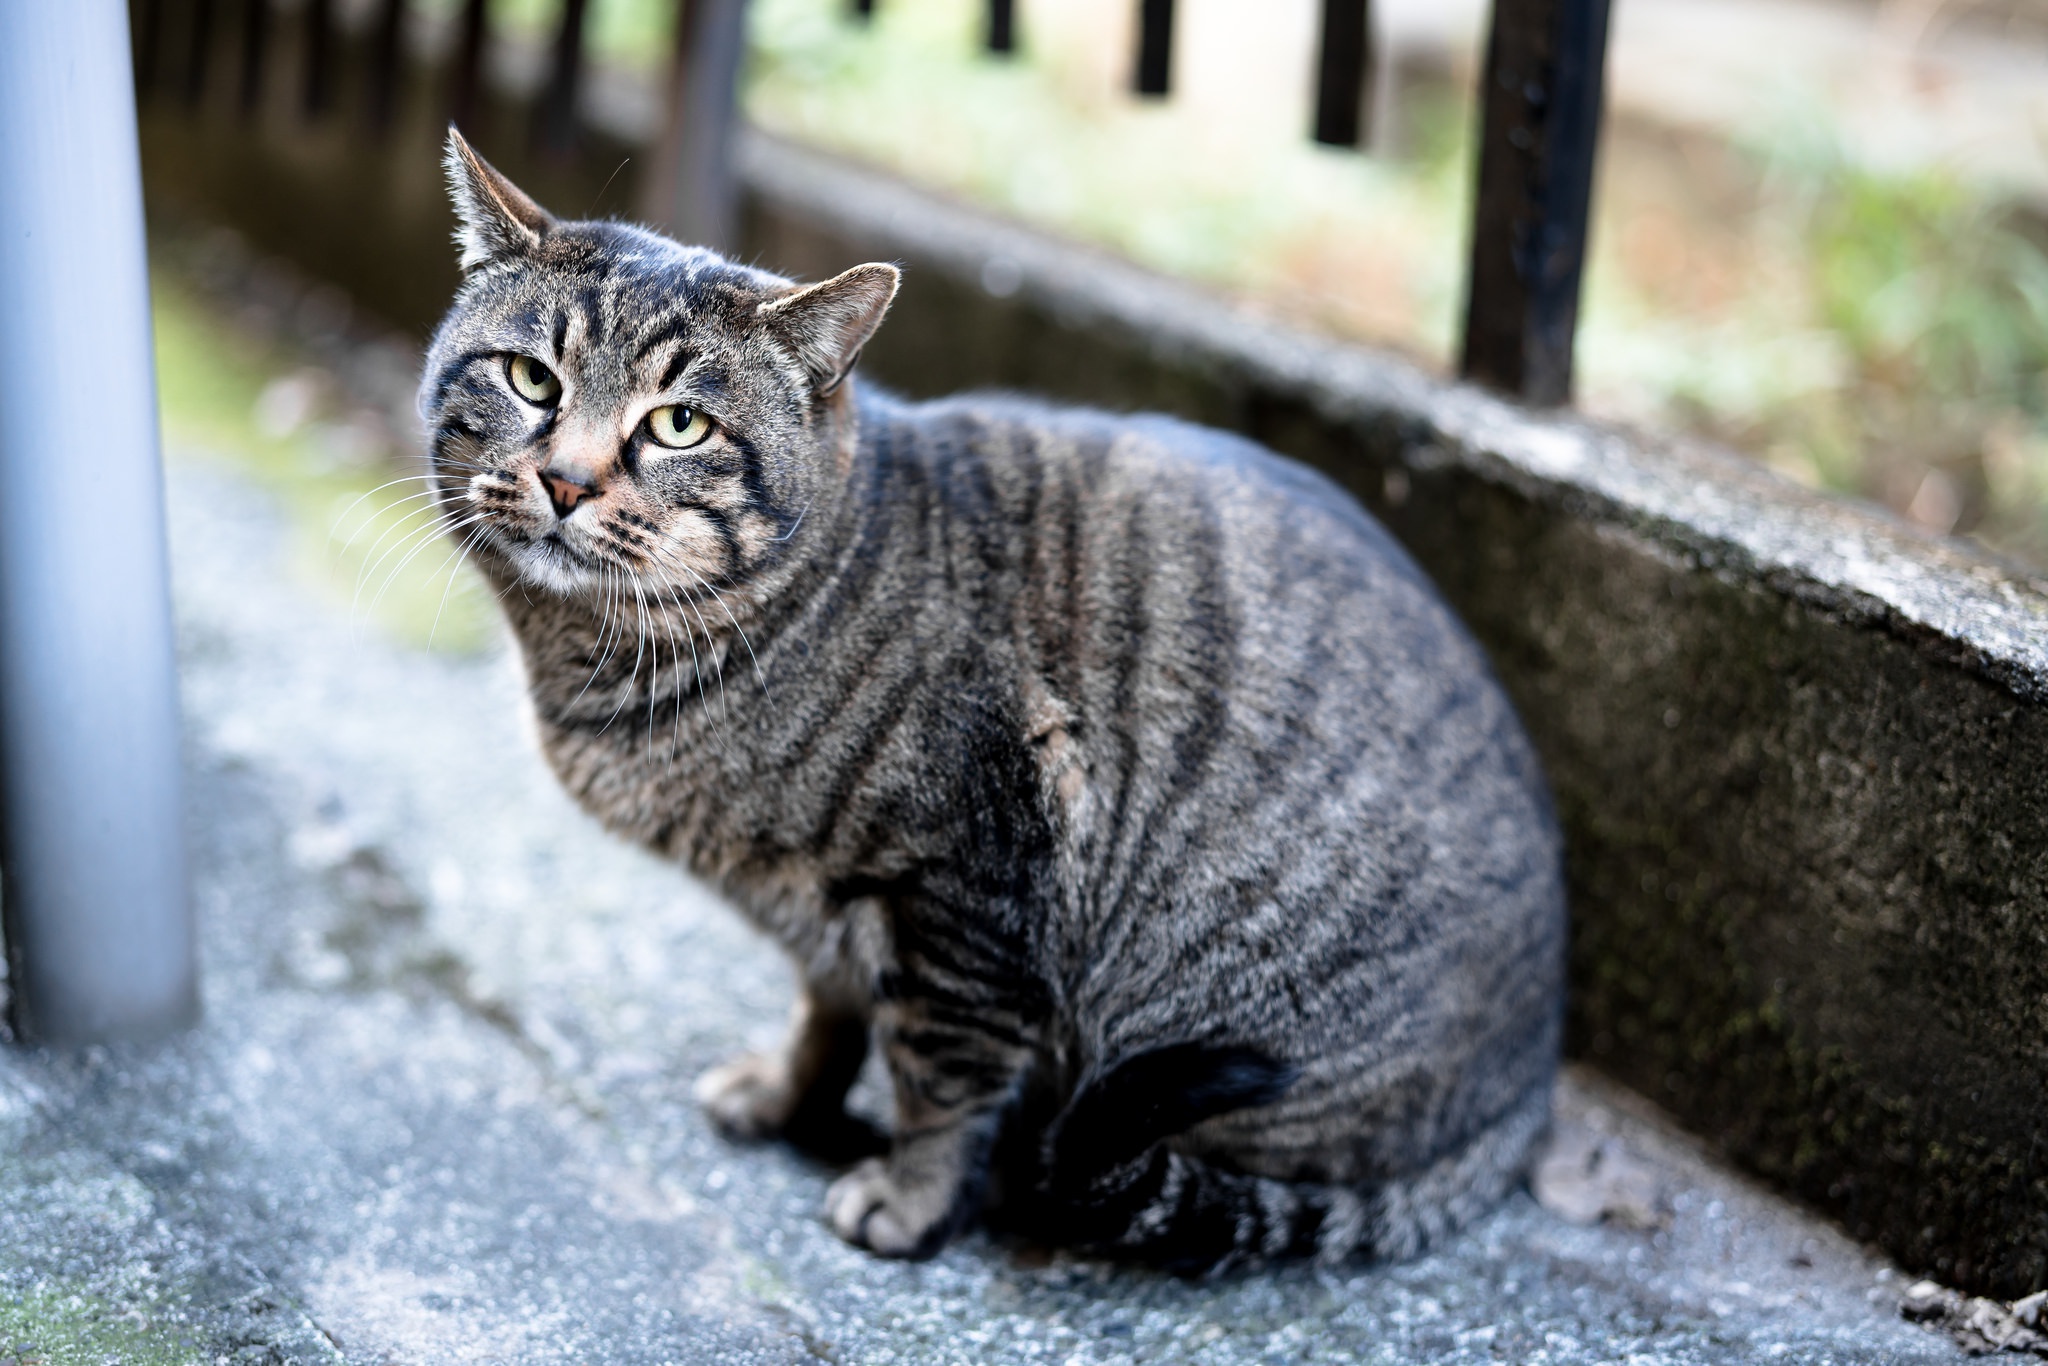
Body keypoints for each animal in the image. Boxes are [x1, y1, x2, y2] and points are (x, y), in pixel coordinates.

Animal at [419, 127, 1564, 1269]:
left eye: (678, 424)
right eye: (531, 377)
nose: (566, 481)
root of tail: (1523, 1111)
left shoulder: (967, 898)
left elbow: (941, 1075)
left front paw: (910, 1199)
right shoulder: (828, 920)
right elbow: (826, 1017)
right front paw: (785, 1096)